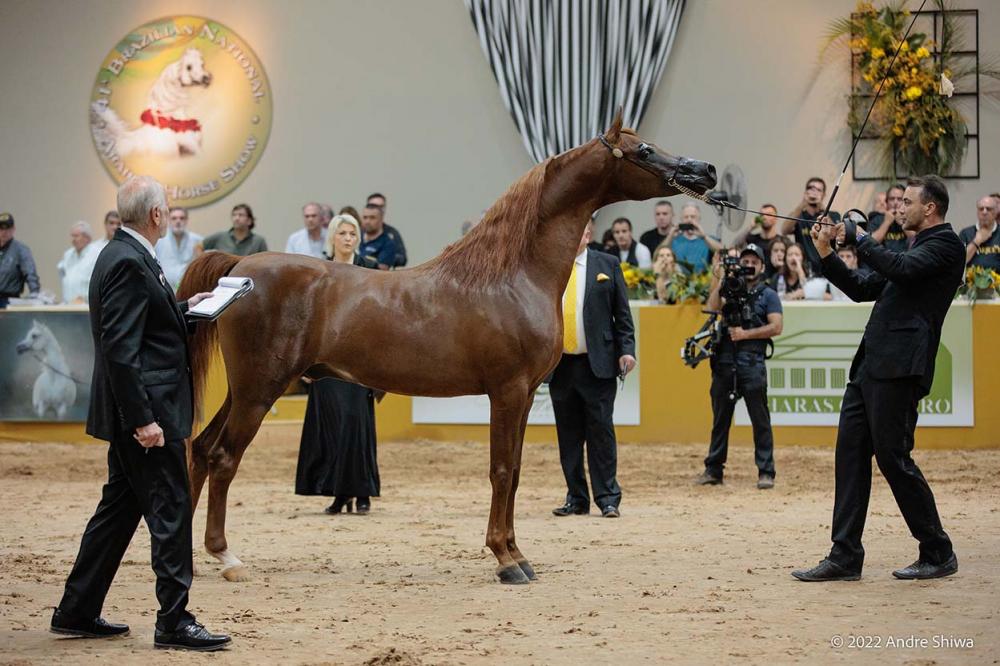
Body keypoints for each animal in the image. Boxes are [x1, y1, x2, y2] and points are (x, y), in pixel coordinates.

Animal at [177, 112, 717, 584]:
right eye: (642, 149)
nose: (705, 170)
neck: (512, 275)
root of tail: (239, 268)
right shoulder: (507, 391)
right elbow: (501, 471)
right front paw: (504, 560)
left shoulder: (524, 397)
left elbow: (515, 472)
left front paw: (519, 554)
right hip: (259, 391)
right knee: (222, 457)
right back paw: (227, 558)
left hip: (247, 390)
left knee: (200, 450)